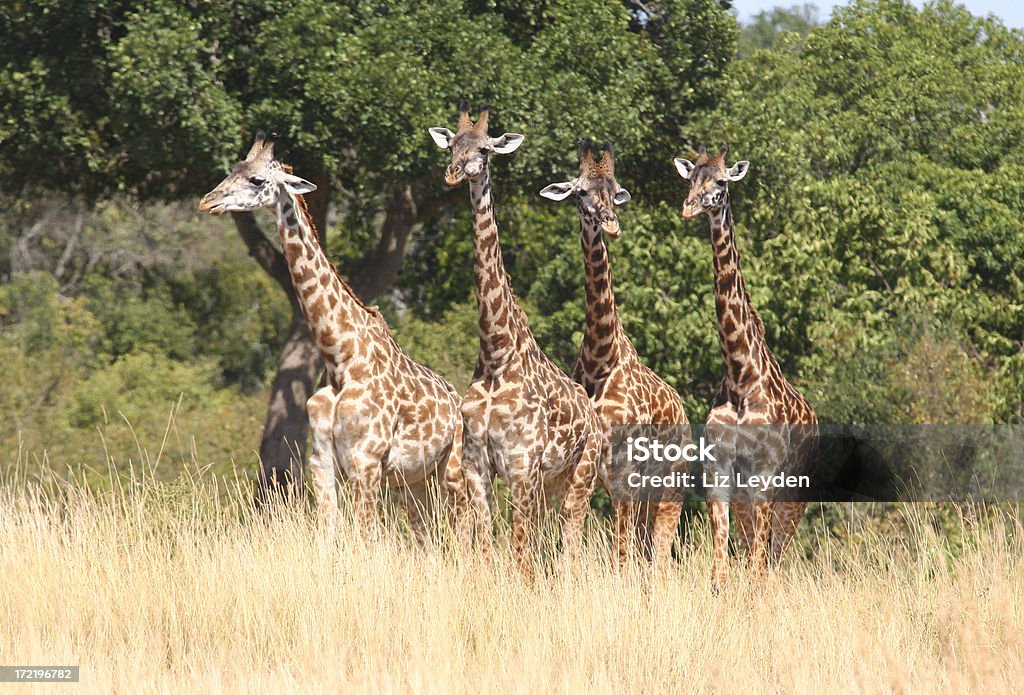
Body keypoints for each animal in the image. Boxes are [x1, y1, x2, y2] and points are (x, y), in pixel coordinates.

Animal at [199, 130, 471, 544]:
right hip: (412, 480)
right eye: (232, 169)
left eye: (257, 180)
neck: (339, 355)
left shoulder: (367, 459)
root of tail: (458, 399)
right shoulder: (322, 459)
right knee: (425, 534)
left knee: (468, 528)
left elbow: (364, 536)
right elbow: (329, 532)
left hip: (451, 469)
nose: (207, 201)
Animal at [428, 103, 602, 569]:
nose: (454, 172)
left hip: (582, 471)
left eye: (485, 149)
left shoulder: (521, 463)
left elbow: (518, 548)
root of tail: (595, 415)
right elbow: (489, 541)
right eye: (452, 144)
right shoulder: (476, 462)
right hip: (555, 478)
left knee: (572, 532)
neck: (496, 352)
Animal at [540, 140, 692, 565]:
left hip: (670, 482)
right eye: (579, 193)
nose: (610, 224)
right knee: (642, 544)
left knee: (659, 549)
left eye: (615, 190)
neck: (600, 358)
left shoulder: (625, 471)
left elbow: (623, 550)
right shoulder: (594, 470)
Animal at [671, 145, 815, 585]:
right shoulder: (718, 474)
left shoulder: (765, 475)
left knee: (772, 562)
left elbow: (756, 571)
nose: (689, 207)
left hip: (793, 496)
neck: (739, 375)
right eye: (691, 178)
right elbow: (720, 569)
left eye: (721, 181)